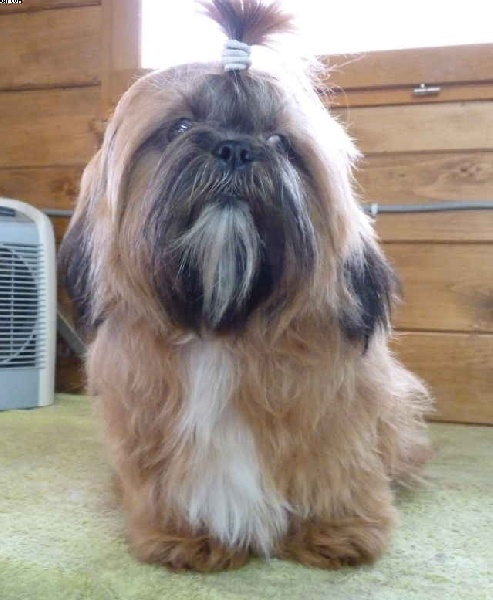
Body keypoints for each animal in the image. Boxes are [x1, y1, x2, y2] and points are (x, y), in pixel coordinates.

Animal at [59, 0, 433, 572]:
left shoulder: (337, 412)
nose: (235, 148)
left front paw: (337, 530)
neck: (223, 325)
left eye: (279, 141)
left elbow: (338, 466)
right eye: (181, 125)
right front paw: (182, 535)